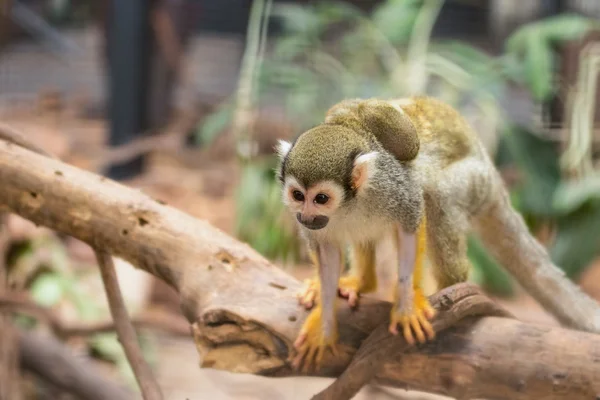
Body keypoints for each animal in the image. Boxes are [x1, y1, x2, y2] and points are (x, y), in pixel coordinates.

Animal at [276, 95, 600, 370]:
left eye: (321, 198)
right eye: (297, 195)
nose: (306, 216)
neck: (347, 205)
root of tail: (491, 171)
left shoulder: (391, 188)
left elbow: (412, 218)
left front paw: (409, 303)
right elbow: (327, 254)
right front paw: (323, 322)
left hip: (473, 181)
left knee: (437, 196)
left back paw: (451, 294)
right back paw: (362, 282)